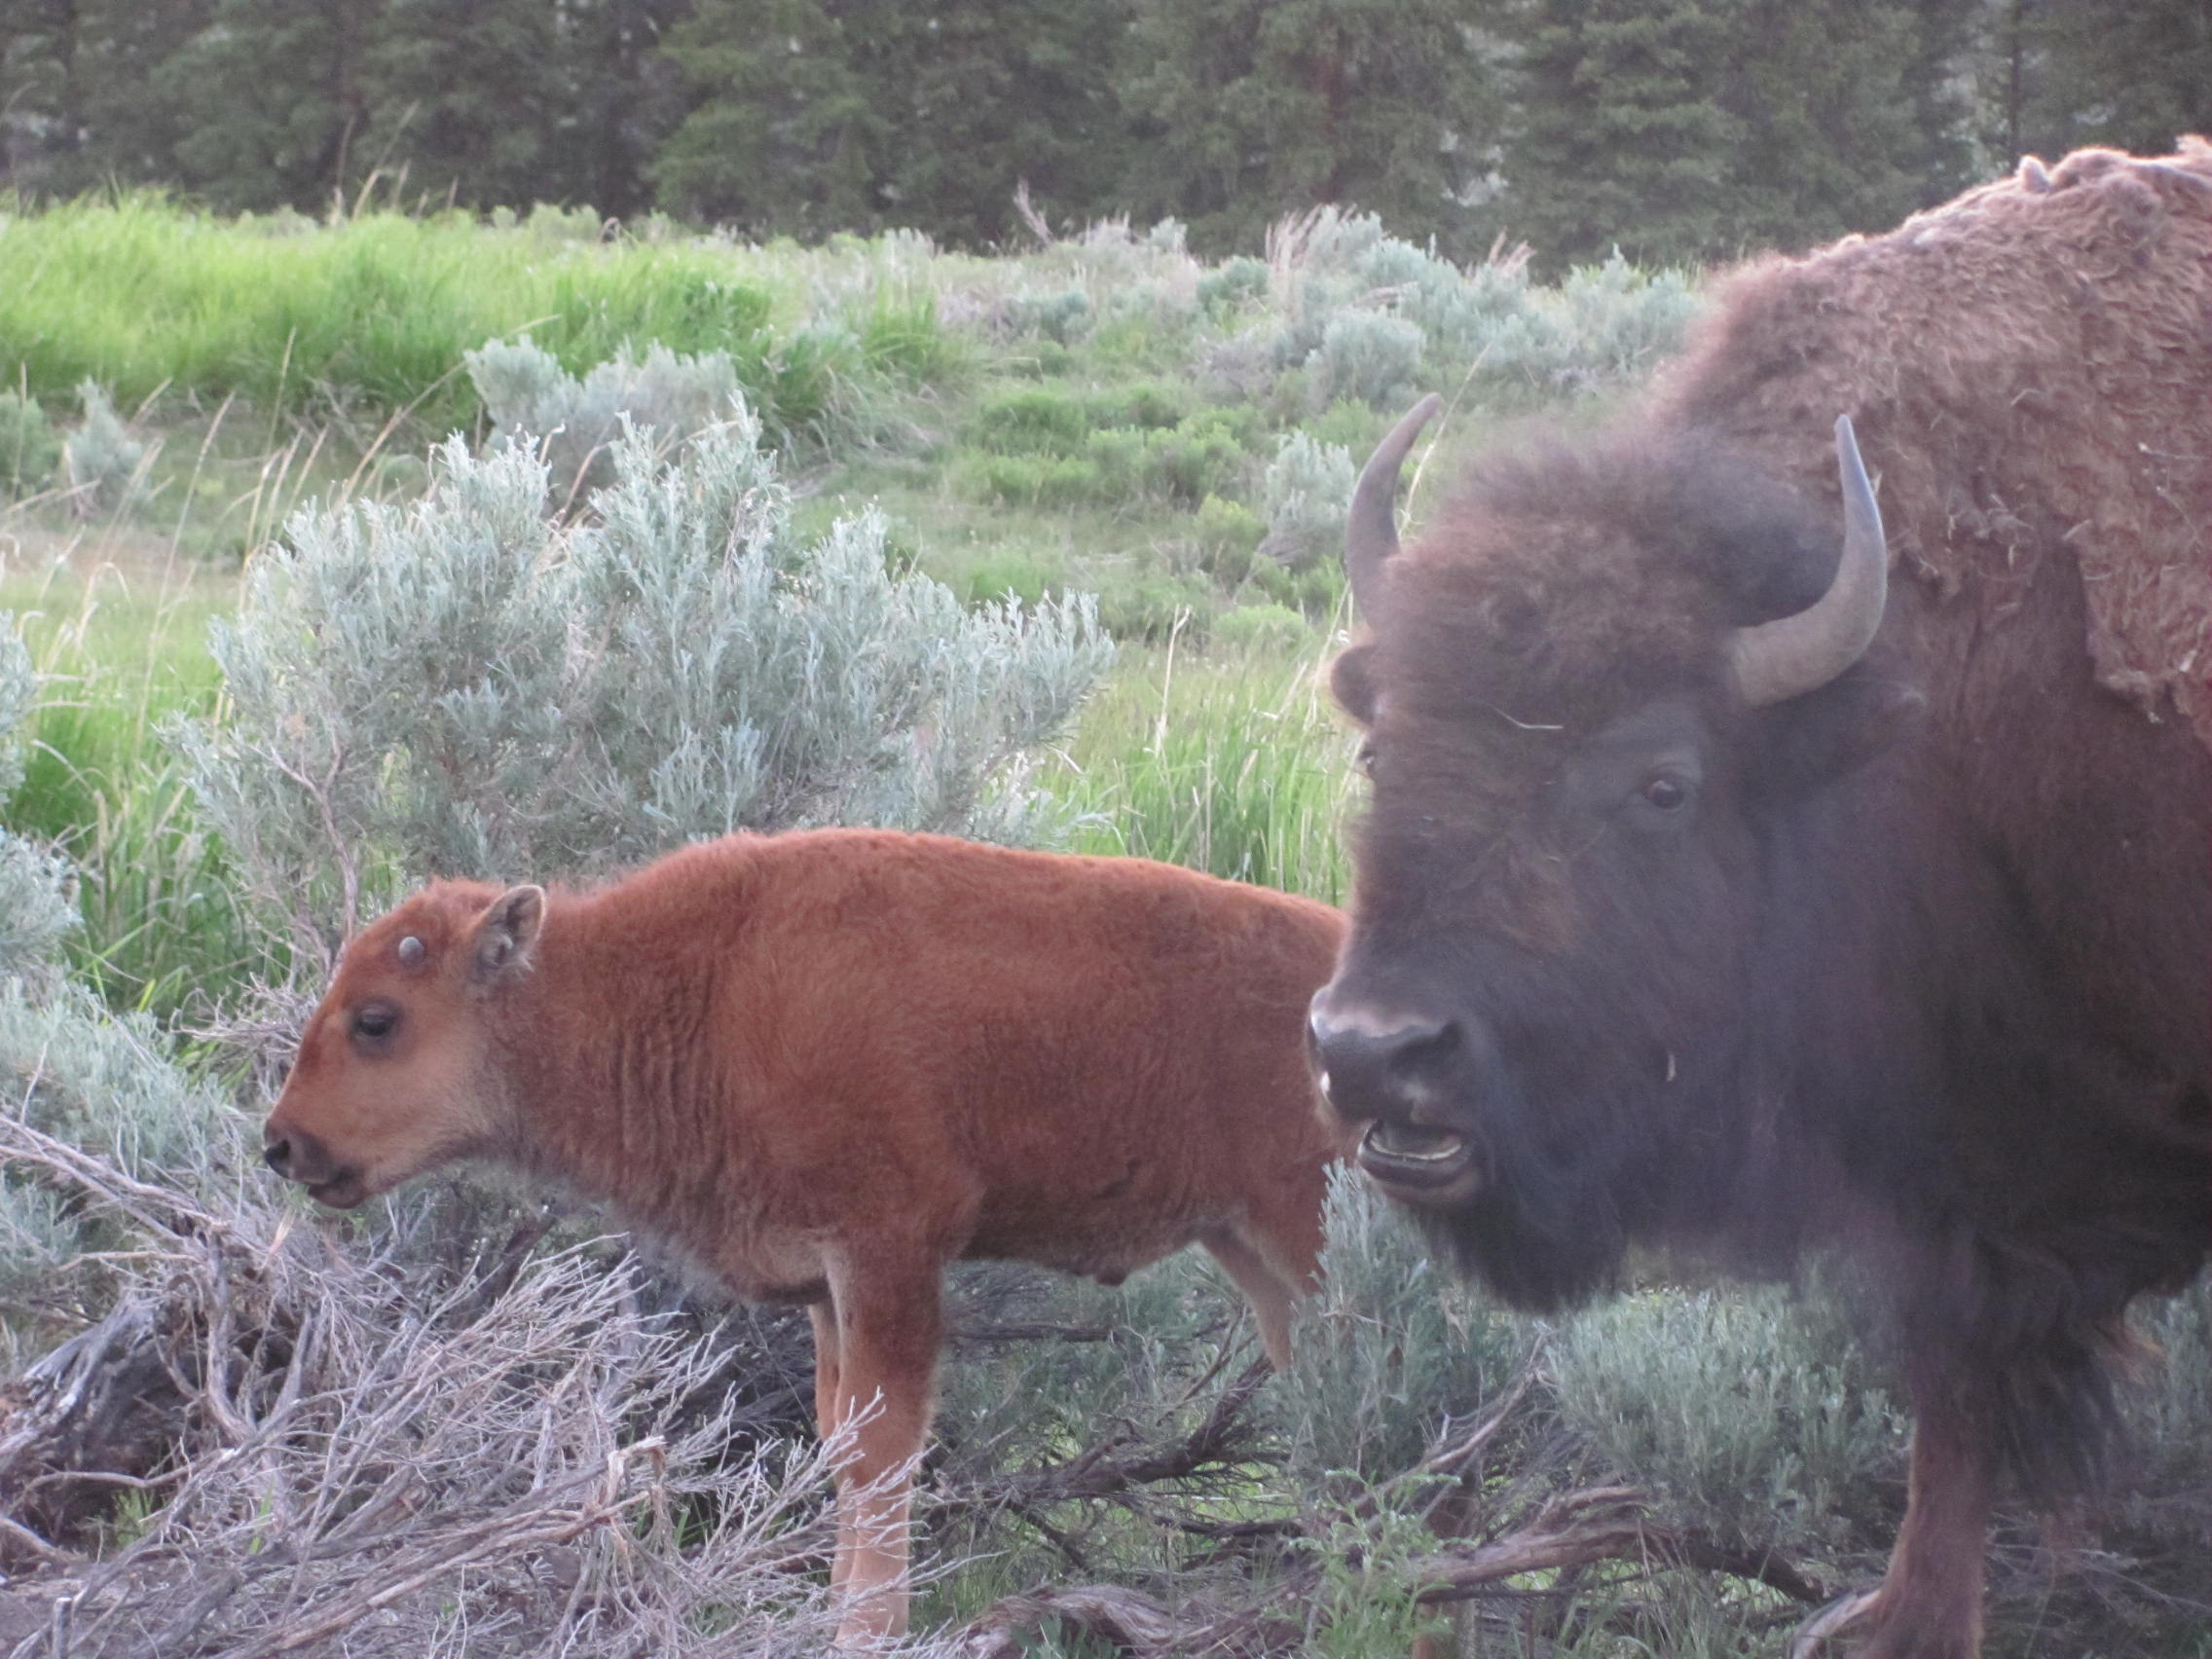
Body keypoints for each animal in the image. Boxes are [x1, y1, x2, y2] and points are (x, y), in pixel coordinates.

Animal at [261, 827, 1347, 1647]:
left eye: (375, 1020)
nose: (282, 1144)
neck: (699, 984)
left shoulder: (888, 1255)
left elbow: (883, 1451)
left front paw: (868, 1630)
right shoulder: (827, 1286)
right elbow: (838, 1443)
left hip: (1301, 1229)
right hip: (1253, 1249)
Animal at [1306, 141, 2212, 1659]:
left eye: (1662, 784)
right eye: (1383, 749)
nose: (1374, 1050)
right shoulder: (1953, 1182)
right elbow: (1953, 1397)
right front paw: (1898, 1618)